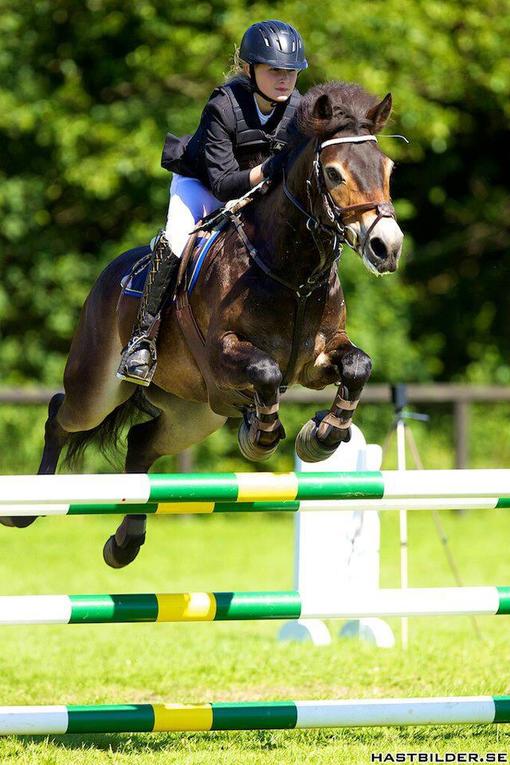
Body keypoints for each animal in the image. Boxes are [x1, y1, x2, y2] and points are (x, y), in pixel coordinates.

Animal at [1, 80, 404, 568]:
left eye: (388, 168)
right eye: (333, 174)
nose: (387, 247)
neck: (292, 273)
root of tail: (109, 275)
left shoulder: (318, 359)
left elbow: (358, 366)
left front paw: (322, 435)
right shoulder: (225, 355)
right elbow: (266, 372)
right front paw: (262, 436)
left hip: (193, 414)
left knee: (141, 443)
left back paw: (124, 543)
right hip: (98, 388)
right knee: (61, 415)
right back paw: (29, 508)